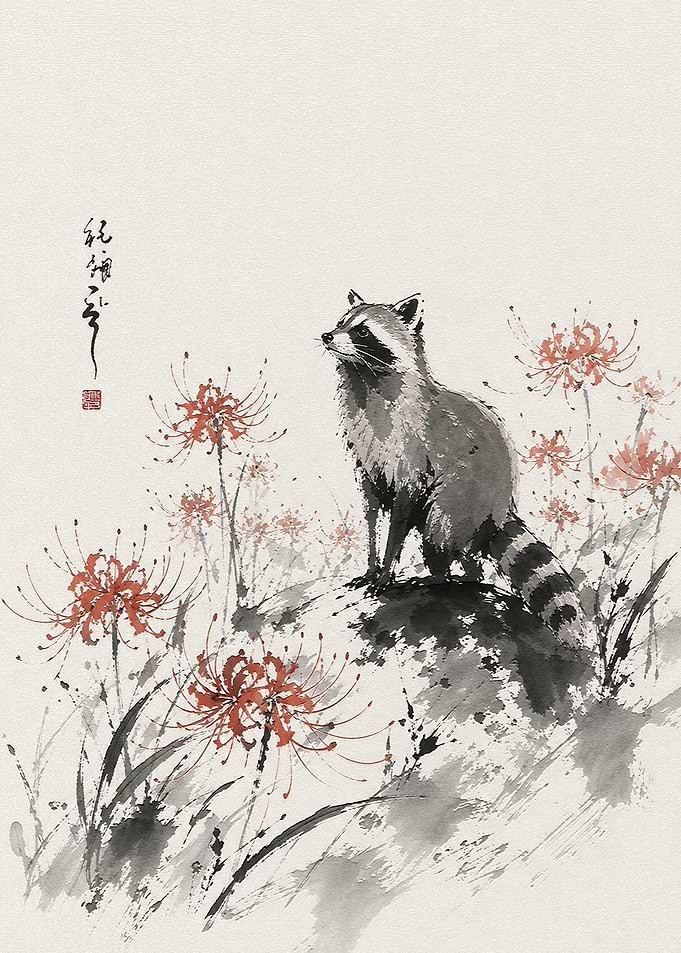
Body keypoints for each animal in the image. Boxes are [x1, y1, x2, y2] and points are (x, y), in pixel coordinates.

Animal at [322, 289, 584, 648]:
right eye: (340, 322)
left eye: (362, 331)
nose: (326, 336)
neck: (365, 377)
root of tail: (503, 506)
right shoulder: (366, 456)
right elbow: (371, 511)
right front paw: (372, 564)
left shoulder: (412, 449)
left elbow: (400, 514)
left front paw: (387, 569)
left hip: (464, 494)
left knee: (439, 528)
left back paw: (441, 577)